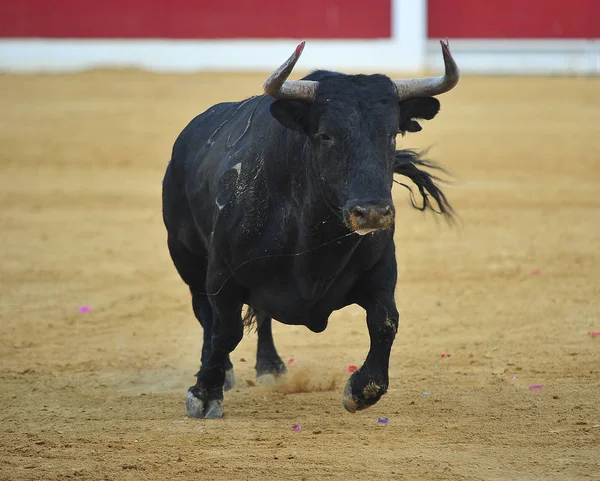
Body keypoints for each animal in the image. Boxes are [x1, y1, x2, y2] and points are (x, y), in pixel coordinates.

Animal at [161, 40, 460, 416]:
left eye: (392, 135)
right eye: (325, 135)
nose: (372, 213)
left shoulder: (382, 270)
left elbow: (385, 322)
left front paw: (361, 390)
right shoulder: (222, 273)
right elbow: (225, 330)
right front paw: (204, 394)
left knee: (260, 316)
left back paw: (271, 368)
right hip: (186, 256)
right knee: (206, 315)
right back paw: (223, 373)